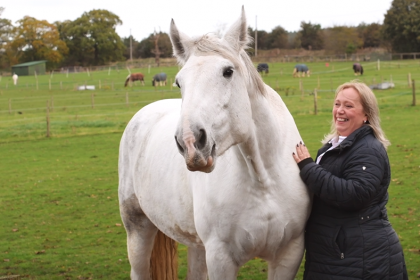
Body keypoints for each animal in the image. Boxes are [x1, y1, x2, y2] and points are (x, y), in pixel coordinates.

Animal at [118, 7, 312, 280]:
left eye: (228, 71)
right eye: (179, 82)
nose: (190, 143)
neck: (263, 182)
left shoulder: (289, 255)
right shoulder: (221, 259)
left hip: (196, 246)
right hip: (137, 227)